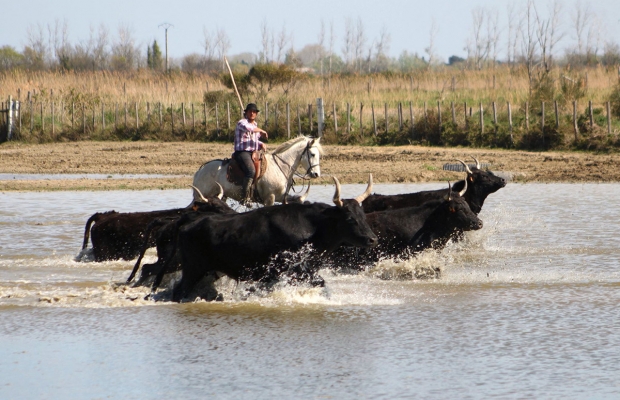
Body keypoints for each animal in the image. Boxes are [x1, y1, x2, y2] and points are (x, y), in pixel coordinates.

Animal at [153, 176, 380, 304]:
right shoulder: (293, 270)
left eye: (362, 215)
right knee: (179, 291)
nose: (372, 240)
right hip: (193, 269)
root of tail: (186, 225)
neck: (312, 227)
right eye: (350, 218)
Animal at [191, 136, 322, 208]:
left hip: (220, 196)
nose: (316, 174)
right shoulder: (270, 198)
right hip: (201, 196)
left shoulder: (280, 197)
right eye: (312, 154)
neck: (280, 166)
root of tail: (200, 171)